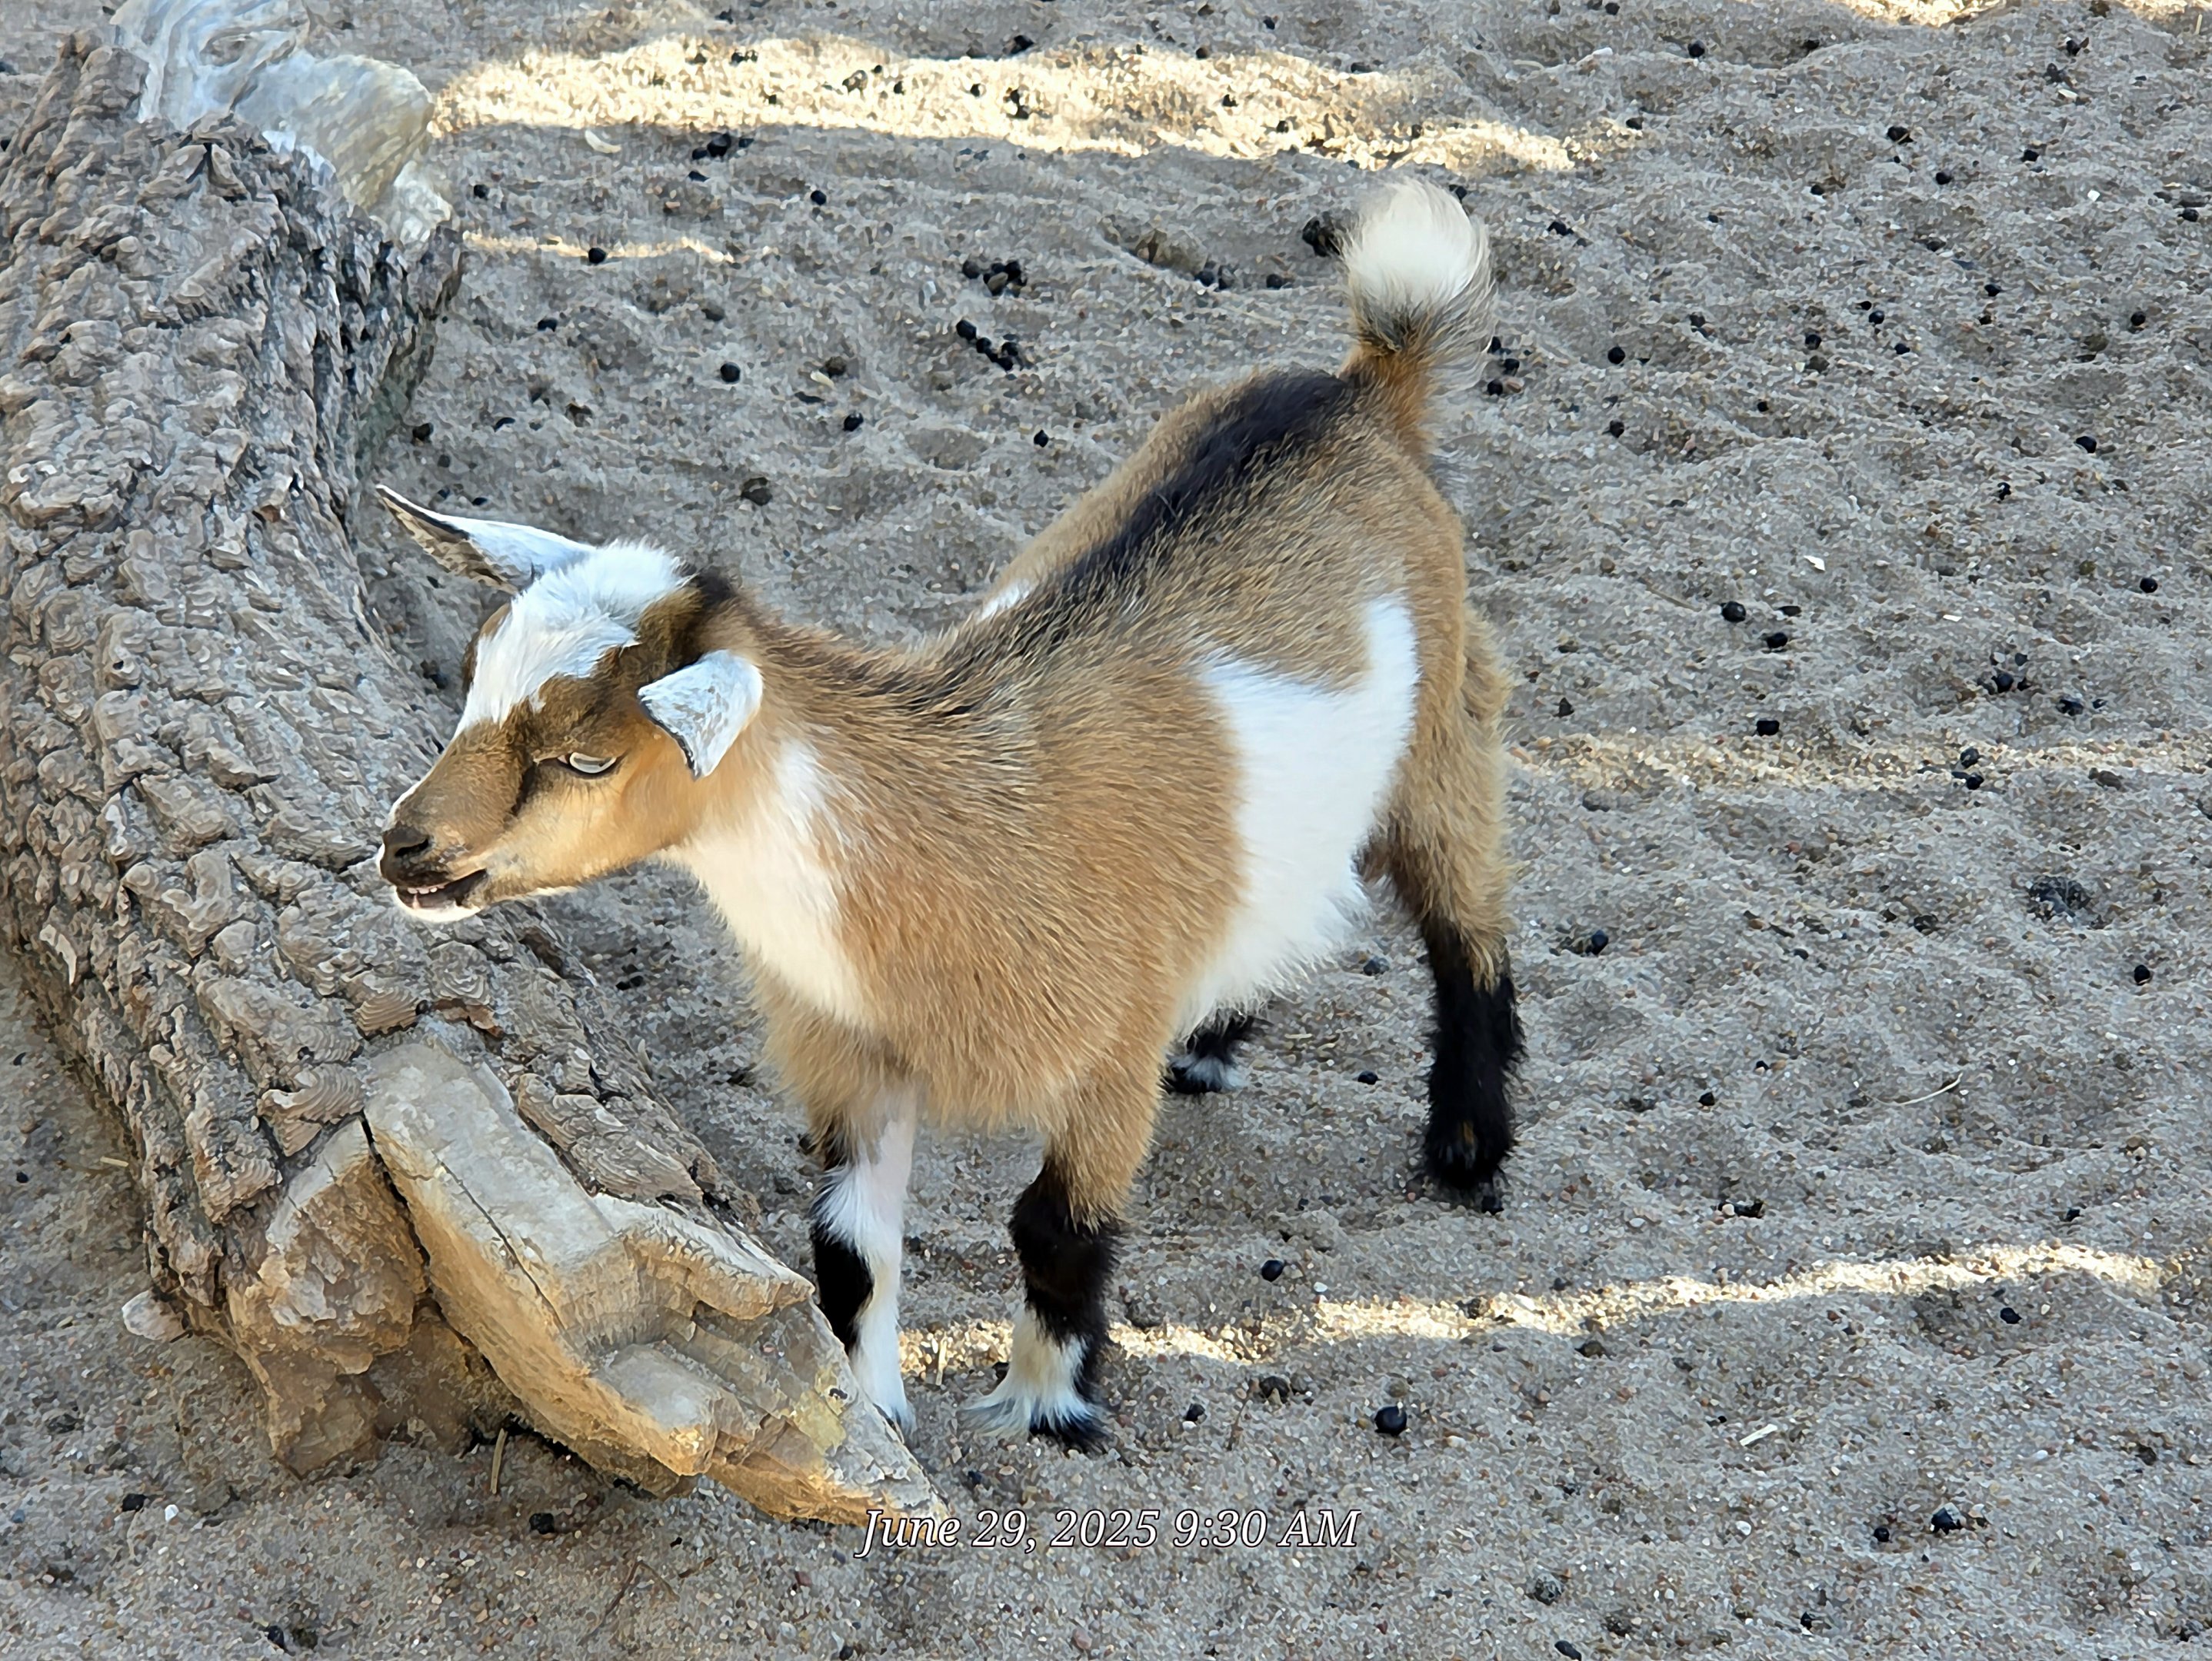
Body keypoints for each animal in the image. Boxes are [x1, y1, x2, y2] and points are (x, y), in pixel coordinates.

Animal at [376, 177, 1523, 1448]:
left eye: (585, 758)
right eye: (472, 677)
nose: (406, 847)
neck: (956, 837)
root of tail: (1365, 387)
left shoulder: (1105, 1057)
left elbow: (1056, 1228)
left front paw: (1045, 1406)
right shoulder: (852, 1056)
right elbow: (848, 1250)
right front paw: (871, 1408)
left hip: (1444, 732)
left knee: (1466, 919)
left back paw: (1468, 1146)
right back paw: (1216, 1039)